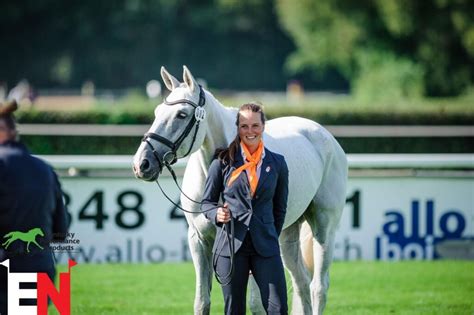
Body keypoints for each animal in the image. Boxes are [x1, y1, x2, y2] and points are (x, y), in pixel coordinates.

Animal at [133, 65, 348, 314]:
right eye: (157, 112)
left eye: (182, 115)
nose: (142, 164)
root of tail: (324, 134)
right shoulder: (199, 241)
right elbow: (202, 301)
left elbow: (256, 304)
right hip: (286, 234)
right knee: (301, 283)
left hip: (324, 228)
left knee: (318, 287)